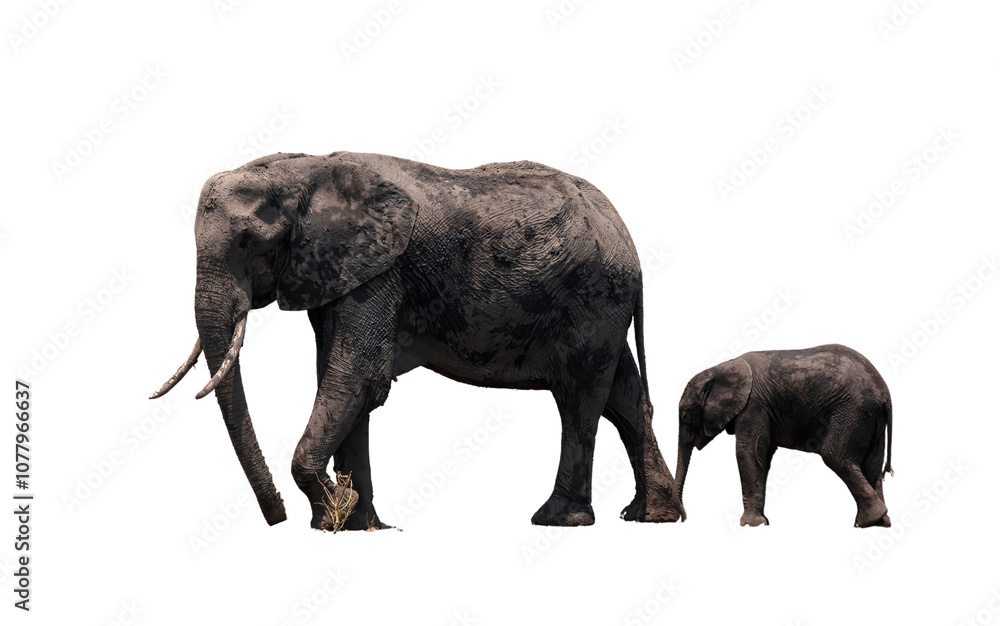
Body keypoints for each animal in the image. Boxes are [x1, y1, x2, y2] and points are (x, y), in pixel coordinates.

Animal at [151, 151, 683, 531]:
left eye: (251, 244)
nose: (277, 517)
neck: (310, 169)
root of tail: (626, 235)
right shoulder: (341, 274)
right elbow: (341, 381)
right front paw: (353, 524)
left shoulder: (380, 272)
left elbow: (357, 378)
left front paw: (338, 510)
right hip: (604, 305)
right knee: (623, 398)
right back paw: (653, 517)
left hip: (594, 300)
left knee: (579, 399)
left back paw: (558, 520)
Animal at [673, 344, 893, 528]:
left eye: (685, 416)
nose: (683, 519)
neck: (722, 368)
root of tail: (885, 394)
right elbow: (763, 456)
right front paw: (763, 522)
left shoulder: (753, 406)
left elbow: (747, 452)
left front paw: (750, 525)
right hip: (871, 419)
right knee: (871, 465)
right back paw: (879, 522)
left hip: (852, 412)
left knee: (834, 456)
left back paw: (868, 521)